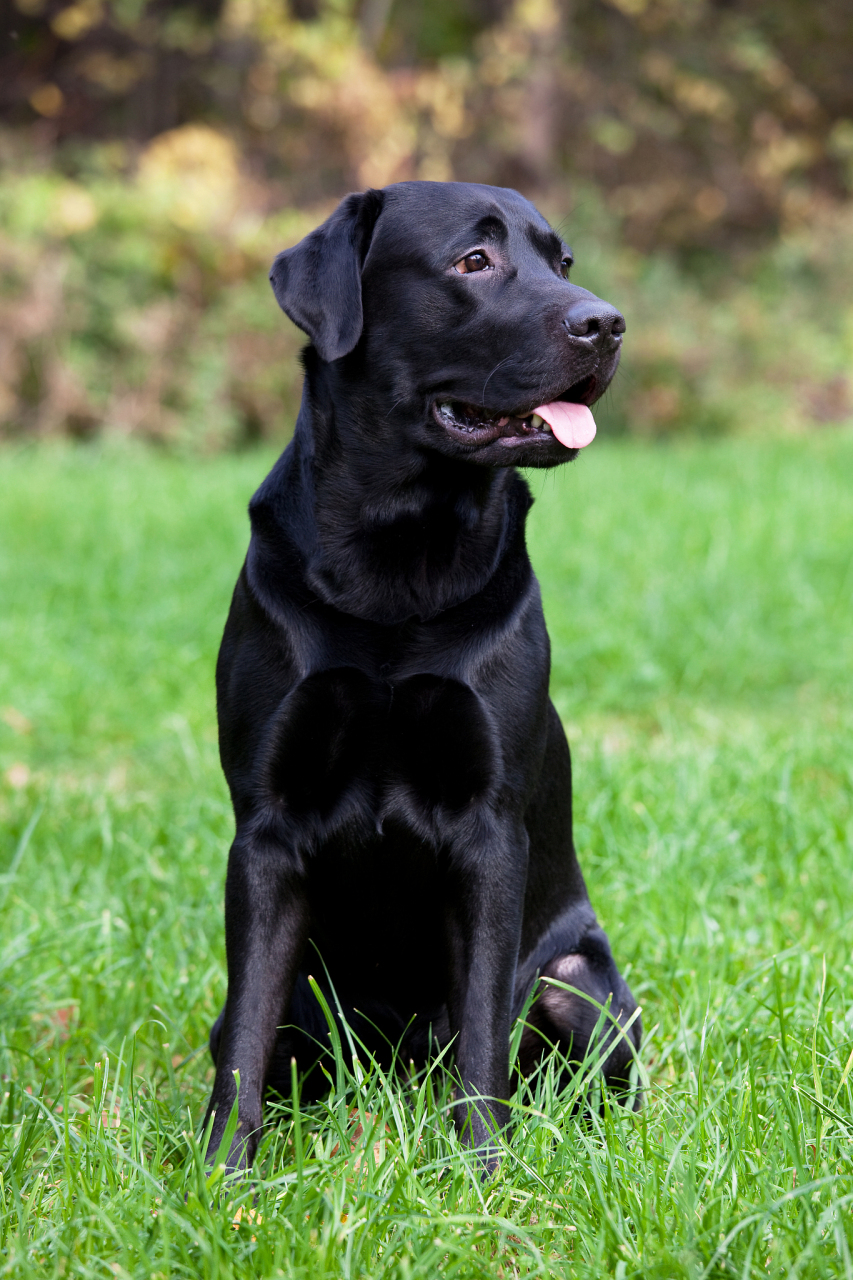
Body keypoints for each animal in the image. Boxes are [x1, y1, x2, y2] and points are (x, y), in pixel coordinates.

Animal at [201, 180, 637, 1172]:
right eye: (473, 261)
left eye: (559, 260)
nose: (605, 322)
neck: (398, 556)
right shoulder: (266, 828)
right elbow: (245, 1038)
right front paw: (219, 1177)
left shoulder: (489, 829)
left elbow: (480, 1032)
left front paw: (481, 1174)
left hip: (580, 984)